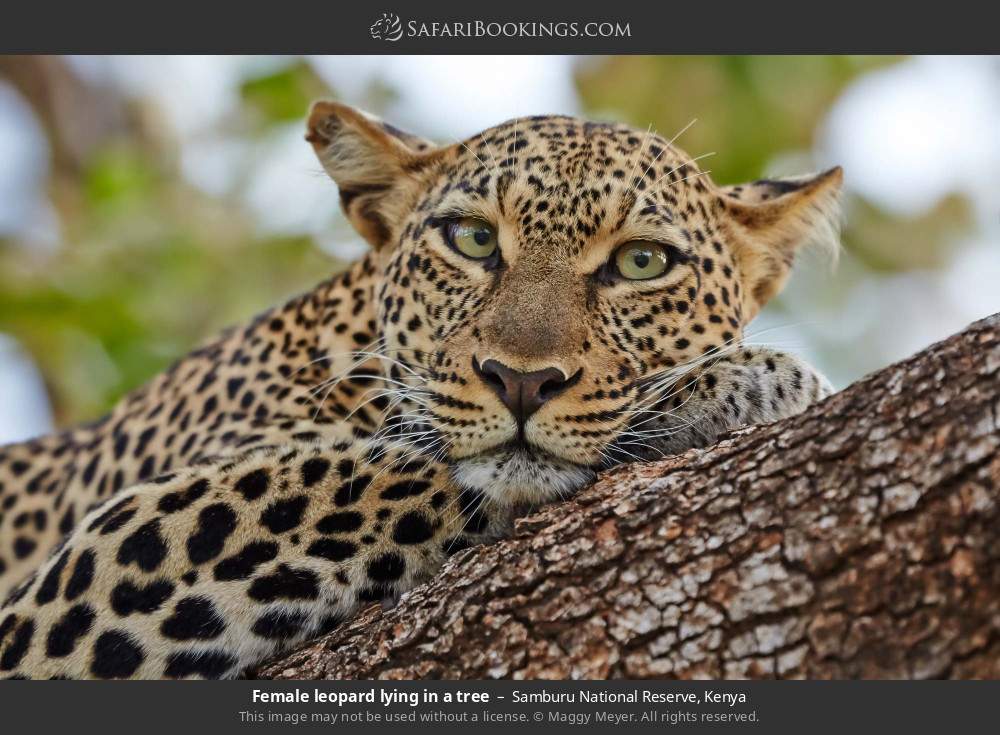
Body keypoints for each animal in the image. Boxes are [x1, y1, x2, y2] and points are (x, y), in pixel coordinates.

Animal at [0, 102, 840, 680]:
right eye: (472, 239)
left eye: (642, 262)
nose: (522, 381)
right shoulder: (78, 580)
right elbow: (371, 468)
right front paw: (749, 383)